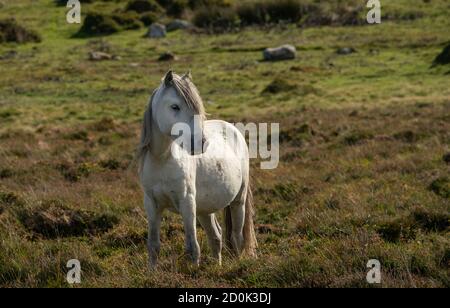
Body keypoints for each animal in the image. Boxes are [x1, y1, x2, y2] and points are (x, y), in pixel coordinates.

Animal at [136, 70, 256, 268]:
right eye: (175, 106)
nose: (200, 143)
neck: (162, 159)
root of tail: (232, 129)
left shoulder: (187, 203)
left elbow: (192, 247)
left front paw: (194, 271)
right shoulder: (152, 205)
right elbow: (153, 245)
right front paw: (151, 272)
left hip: (238, 201)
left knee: (237, 237)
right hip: (204, 209)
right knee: (216, 236)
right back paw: (217, 267)